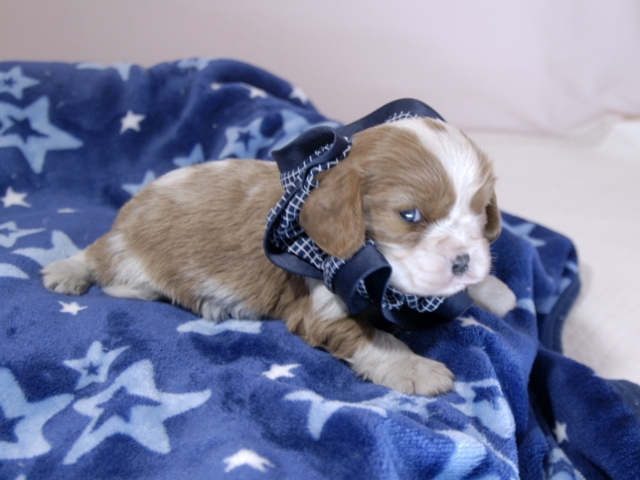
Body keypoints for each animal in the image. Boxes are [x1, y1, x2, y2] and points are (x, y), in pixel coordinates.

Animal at [42, 117, 516, 396]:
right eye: (410, 215)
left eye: (480, 211)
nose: (462, 260)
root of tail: (129, 208)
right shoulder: (322, 308)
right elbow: (376, 340)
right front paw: (418, 369)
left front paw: (495, 291)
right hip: (127, 250)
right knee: (99, 258)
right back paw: (70, 270)